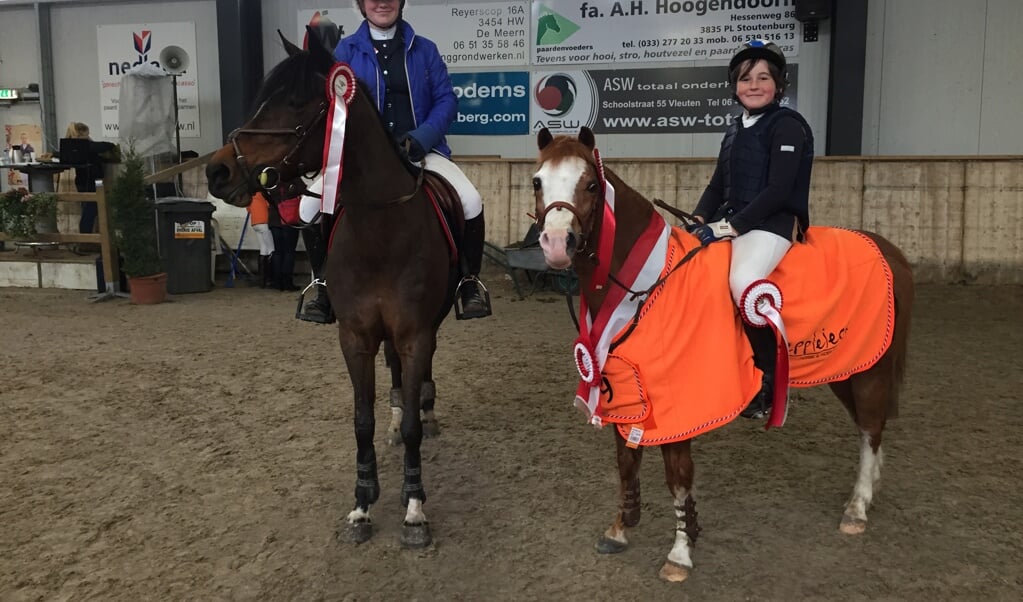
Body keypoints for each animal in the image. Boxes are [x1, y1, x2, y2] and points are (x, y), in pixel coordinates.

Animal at [202, 35, 460, 548]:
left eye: (296, 101)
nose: (217, 171)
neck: (381, 231)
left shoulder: (416, 334)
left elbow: (414, 425)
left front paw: (414, 509)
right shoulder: (355, 338)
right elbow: (362, 421)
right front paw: (362, 505)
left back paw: (423, 408)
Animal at [531, 127, 916, 581]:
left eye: (590, 184)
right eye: (538, 181)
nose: (557, 243)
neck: (645, 284)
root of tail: (884, 246)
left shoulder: (678, 407)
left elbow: (678, 476)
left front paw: (680, 553)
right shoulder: (624, 393)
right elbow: (627, 462)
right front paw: (621, 528)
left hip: (870, 371)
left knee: (871, 428)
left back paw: (857, 508)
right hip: (846, 368)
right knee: (867, 427)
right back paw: (867, 494)